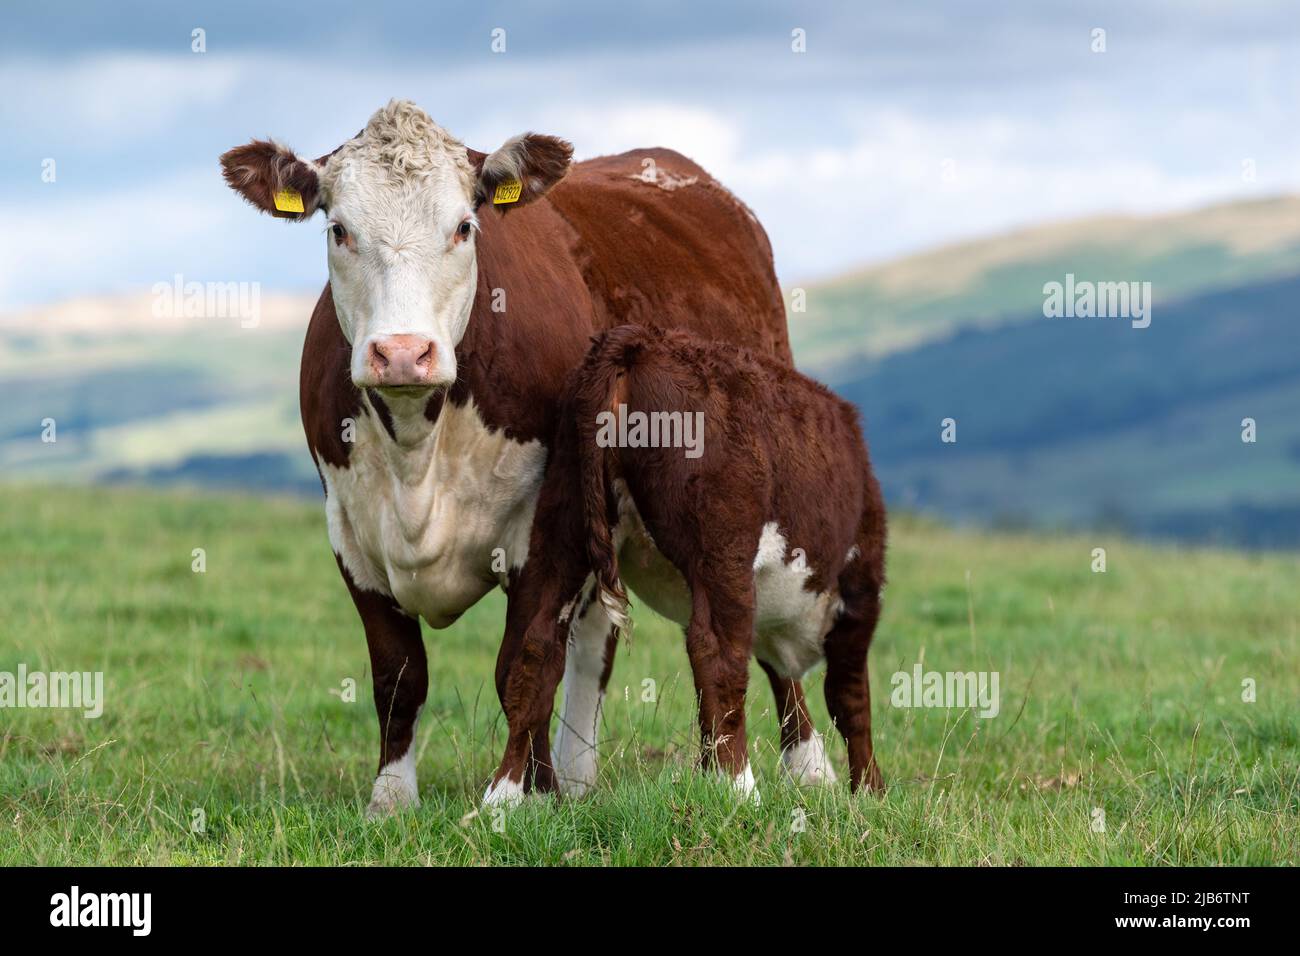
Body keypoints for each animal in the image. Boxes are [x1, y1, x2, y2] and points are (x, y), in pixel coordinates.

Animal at [218, 98, 837, 816]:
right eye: (339, 230)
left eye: (464, 227)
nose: (402, 352)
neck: (416, 456)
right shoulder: (350, 531)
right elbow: (399, 674)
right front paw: (394, 800)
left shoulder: (547, 522)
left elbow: (523, 662)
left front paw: (519, 794)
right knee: (596, 640)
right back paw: (578, 775)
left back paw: (810, 766)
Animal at [491, 325, 889, 806]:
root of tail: (635, 344)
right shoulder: (859, 587)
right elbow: (851, 700)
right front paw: (870, 792)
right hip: (723, 547)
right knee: (717, 655)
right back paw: (740, 788)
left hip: (560, 520)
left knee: (536, 646)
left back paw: (507, 797)